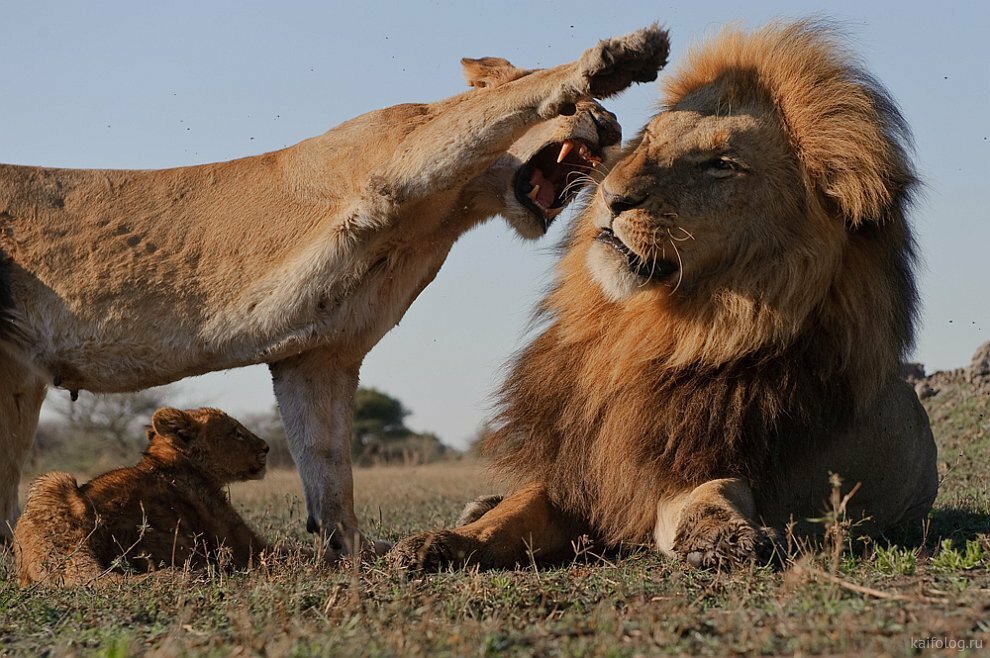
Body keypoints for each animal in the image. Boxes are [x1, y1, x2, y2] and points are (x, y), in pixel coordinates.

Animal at [0, 25, 672, 552]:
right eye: (579, 105)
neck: (447, 211)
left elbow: (328, 468)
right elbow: (498, 104)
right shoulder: (397, 155)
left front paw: (349, 554)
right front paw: (624, 56)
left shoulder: (318, 355)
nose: (612, 124)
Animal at [392, 21, 940, 568]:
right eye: (650, 139)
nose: (612, 198)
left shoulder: (674, 469)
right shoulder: (578, 475)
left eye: (720, 165)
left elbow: (712, 490)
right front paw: (436, 542)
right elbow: (516, 508)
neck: (637, 334)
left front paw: (721, 537)